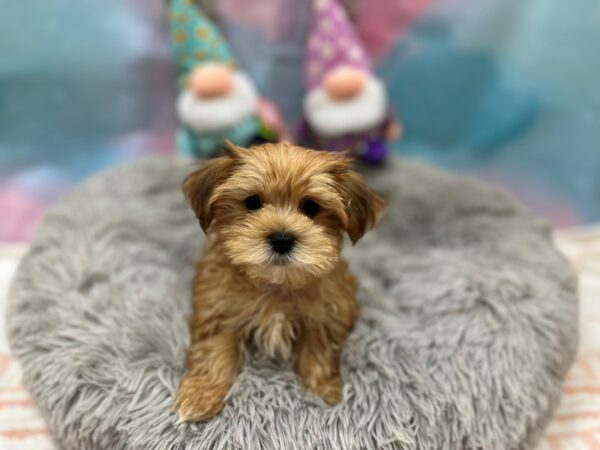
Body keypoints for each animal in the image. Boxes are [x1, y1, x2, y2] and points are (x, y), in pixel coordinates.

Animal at [175, 142, 384, 422]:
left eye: (312, 207)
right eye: (252, 202)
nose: (282, 239)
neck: (276, 284)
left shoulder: (326, 312)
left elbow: (318, 350)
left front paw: (322, 390)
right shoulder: (217, 309)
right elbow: (213, 351)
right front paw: (200, 396)